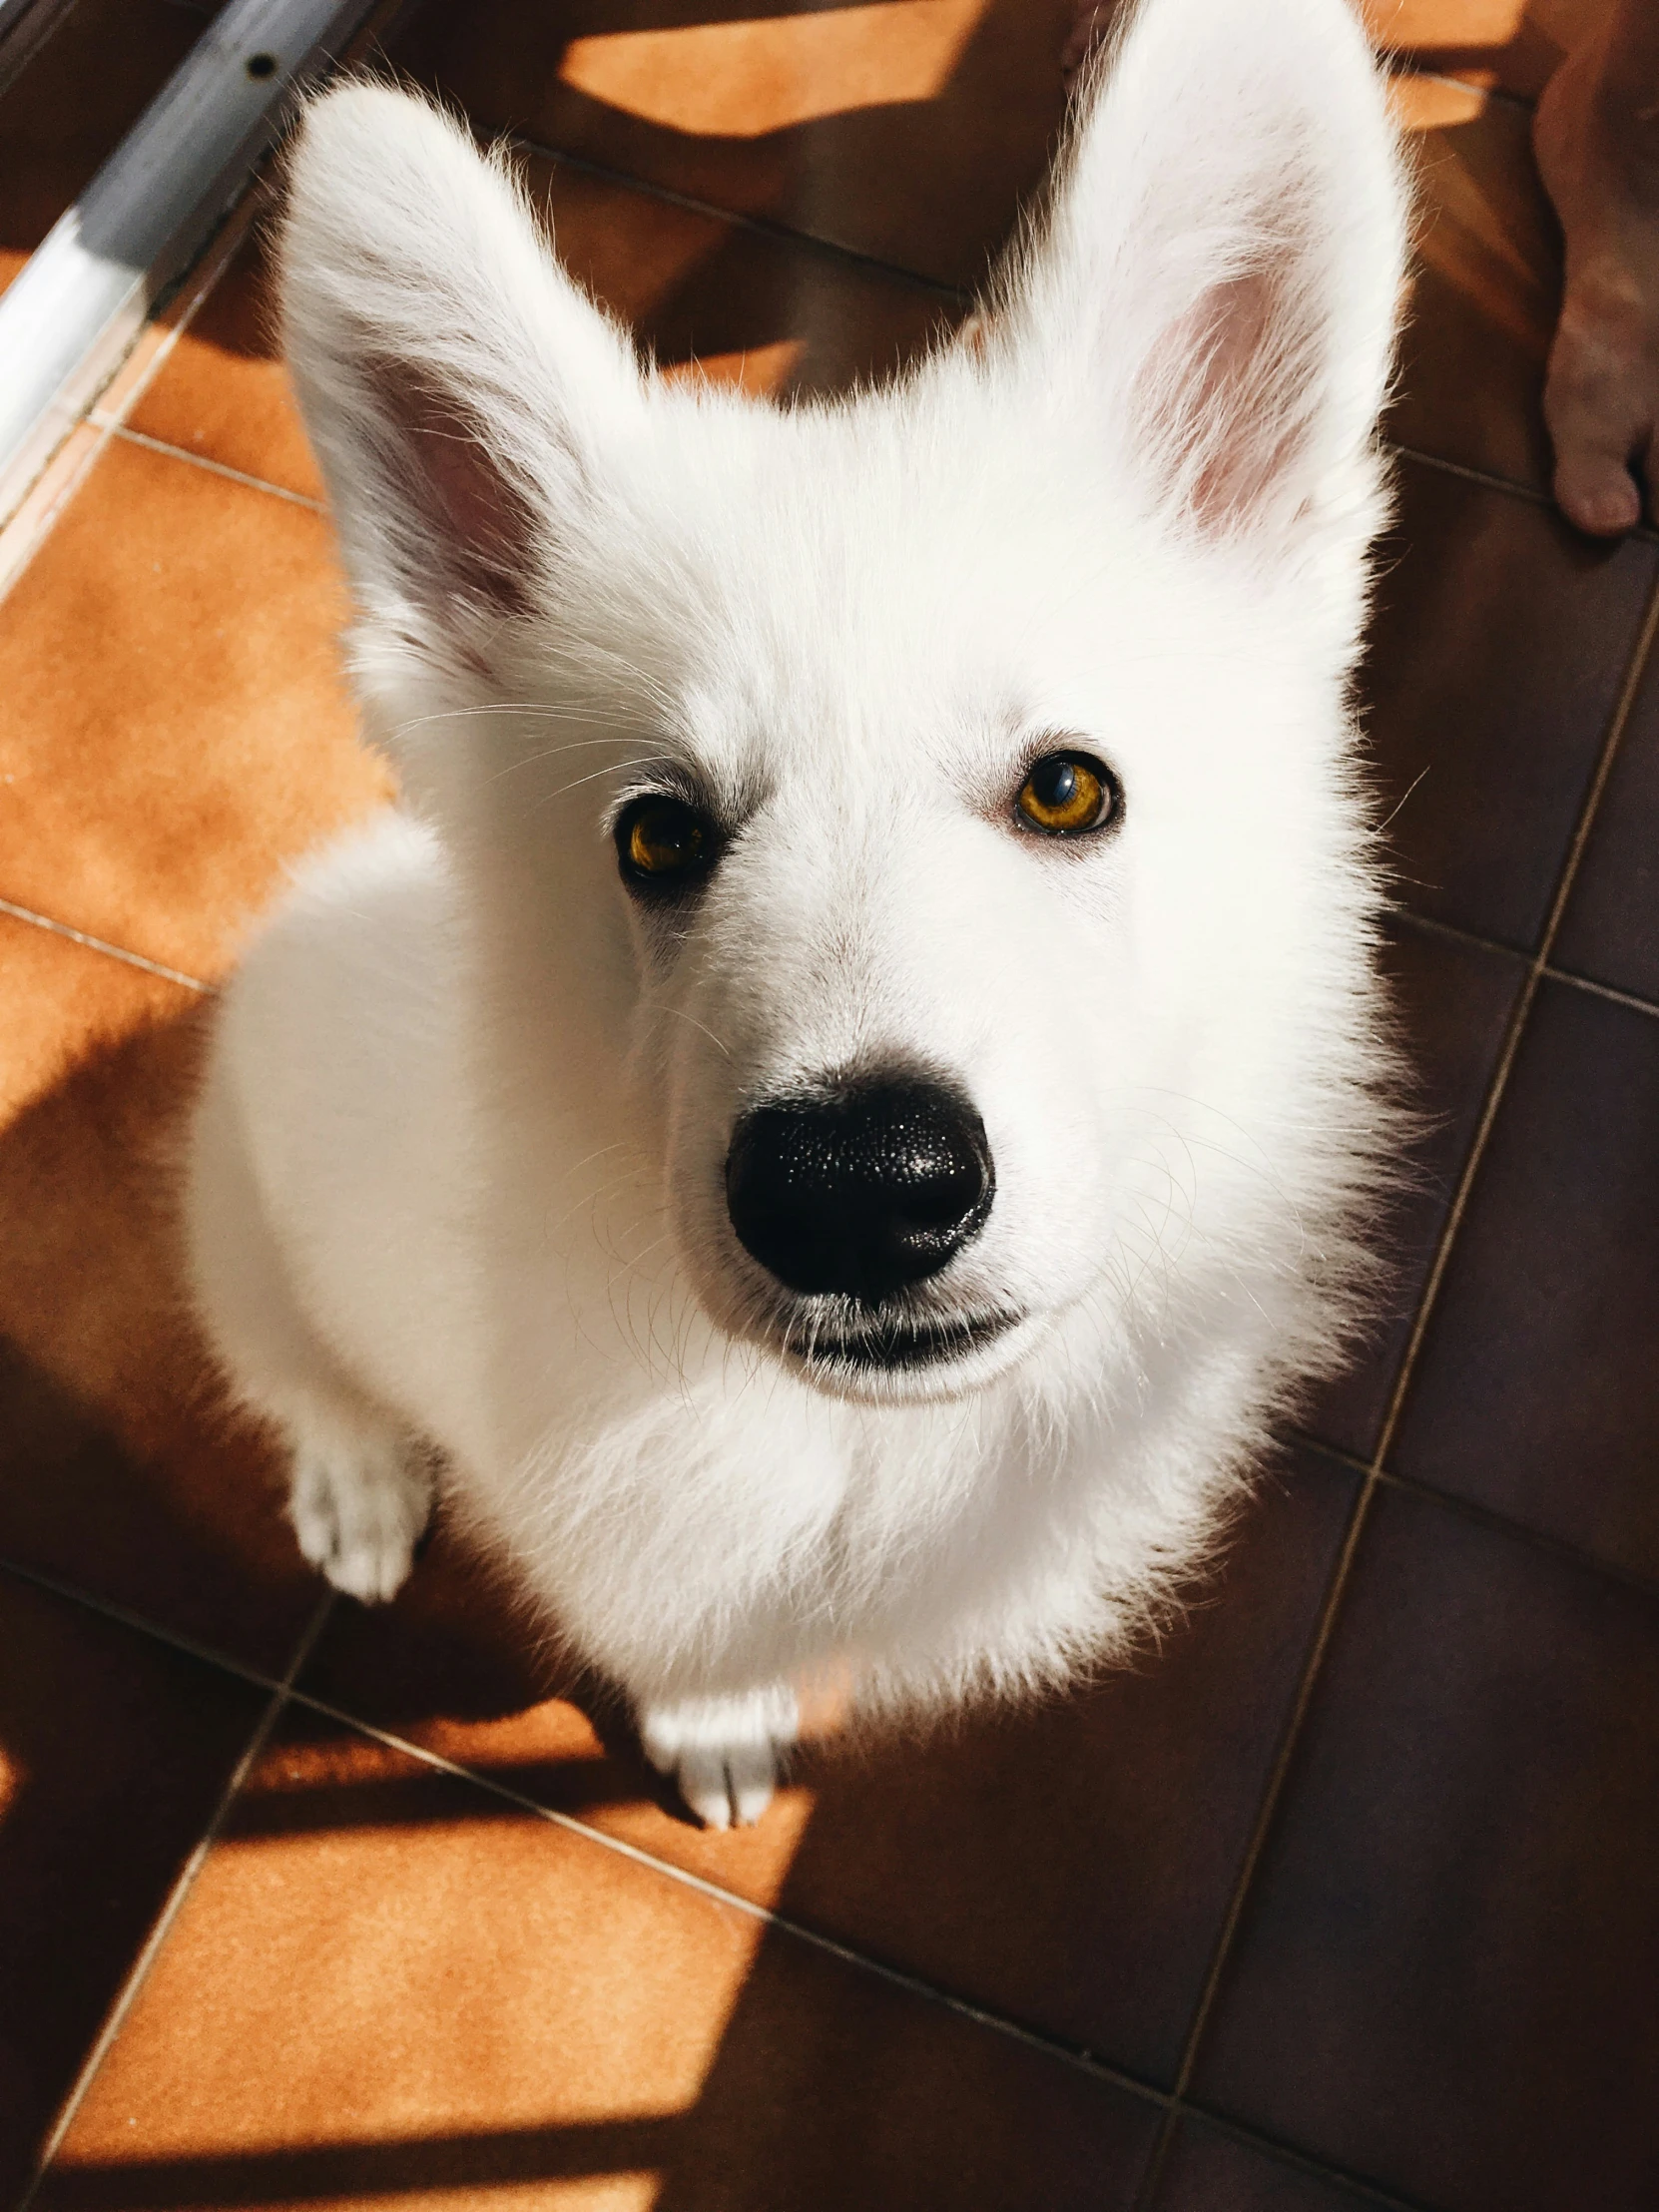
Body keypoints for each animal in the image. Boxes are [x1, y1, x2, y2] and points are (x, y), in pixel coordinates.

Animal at [191, 0, 1415, 1831]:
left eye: (1068, 791)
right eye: (656, 838)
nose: (853, 1191)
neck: (866, 1446)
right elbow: (694, 1655)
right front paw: (716, 1731)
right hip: (239, 1224)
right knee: (295, 1375)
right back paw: (353, 1484)